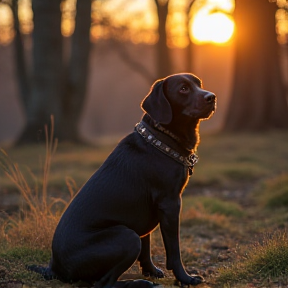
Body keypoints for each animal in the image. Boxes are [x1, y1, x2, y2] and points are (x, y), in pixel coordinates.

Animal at [28, 73, 216, 286]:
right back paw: (139, 283)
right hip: (127, 236)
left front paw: (151, 271)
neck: (160, 140)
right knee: (104, 283)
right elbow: (174, 250)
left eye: (199, 84)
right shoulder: (170, 203)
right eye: (183, 89)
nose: (212, 97)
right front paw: (185, 278)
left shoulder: (146, 213)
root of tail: (55, 268)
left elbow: (146, 245)